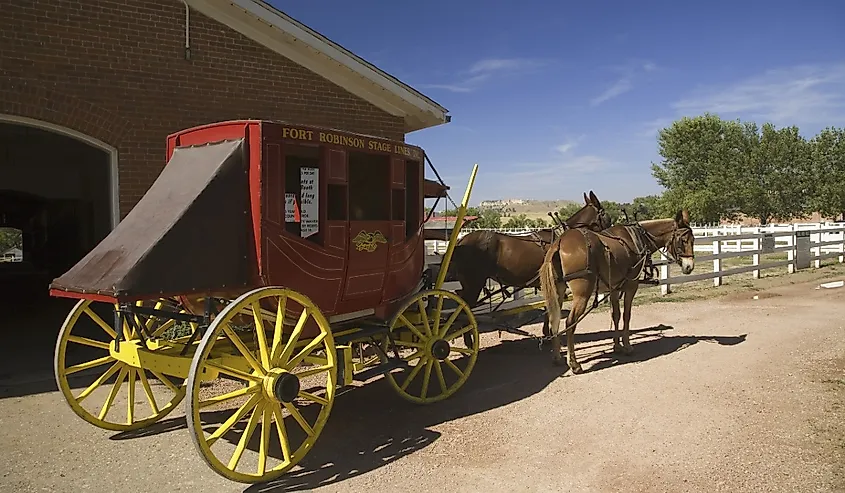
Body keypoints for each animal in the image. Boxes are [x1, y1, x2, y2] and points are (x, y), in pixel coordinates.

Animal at [538, 209, 696, 373]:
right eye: (683, 240)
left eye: (693, 240)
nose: (689, 266)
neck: (636, 239)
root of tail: (559, 242)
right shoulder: (631, 286)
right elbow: (626, 315)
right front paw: (626, 346)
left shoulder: (614, 288)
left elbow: (616, 315)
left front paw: (617, 346)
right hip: (582, 294)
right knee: (570, 322)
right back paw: (574, 363)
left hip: (559, 291)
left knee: (554, 320)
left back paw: (557, 357)